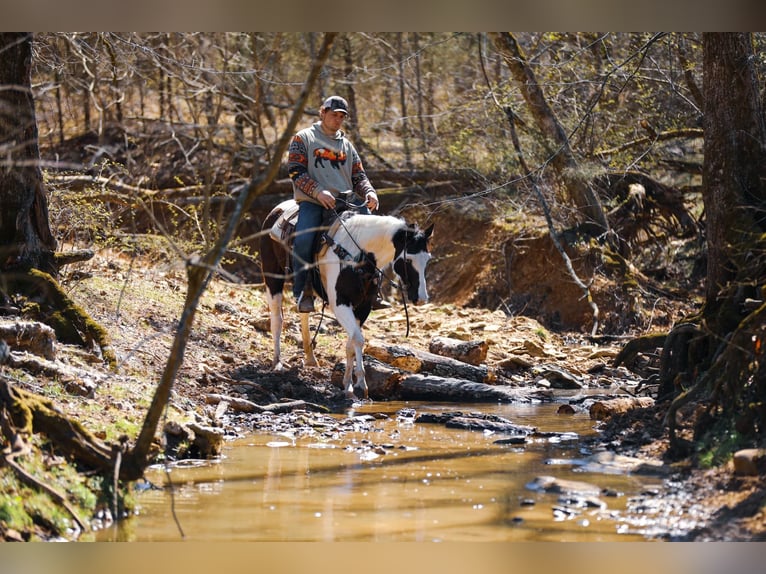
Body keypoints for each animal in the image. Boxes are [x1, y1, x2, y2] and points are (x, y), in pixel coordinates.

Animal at [259, 199, 434, 399]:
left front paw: (348, 384)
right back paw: (277, 363)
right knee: (277, 319)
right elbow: (358, 339)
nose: (421, 298)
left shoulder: (364, 306)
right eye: (408, 260)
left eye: (427, 259)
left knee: (304, 312)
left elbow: (351, 342)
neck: (357, 257)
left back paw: (310, 358)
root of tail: (276, 210)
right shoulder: (340, 304)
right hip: (272, 278)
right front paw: (361, 385)